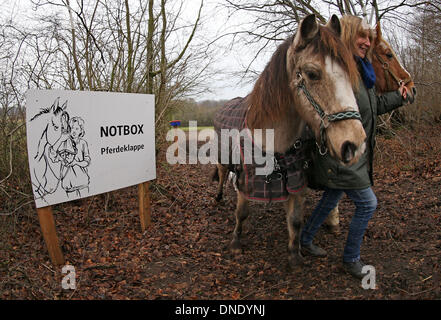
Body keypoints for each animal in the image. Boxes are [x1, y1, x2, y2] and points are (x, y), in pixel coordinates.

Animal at [214, 13, 368, 266]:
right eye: (313, 74)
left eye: (350, 73)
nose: (354, 144)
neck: (273, 143)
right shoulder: (246, 179)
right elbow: (242, 212)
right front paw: (236, 243)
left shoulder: (297, 181)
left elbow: (295, 220)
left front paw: (295, 255)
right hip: (223, 161)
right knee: (220, 175)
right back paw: (218, 197)